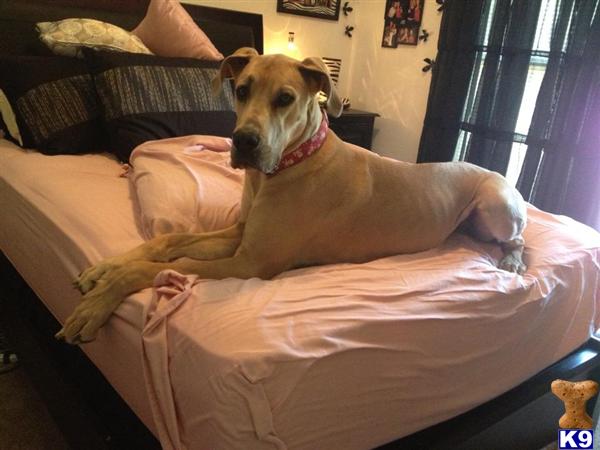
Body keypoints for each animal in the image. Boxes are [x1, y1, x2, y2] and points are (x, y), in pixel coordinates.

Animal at [55, 48, 524, 344]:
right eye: (241, 90)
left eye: (285, 99)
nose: (244, 142)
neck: (288, 165)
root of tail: (490, 171)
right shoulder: (240, 234)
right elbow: (167, 242)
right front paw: (105, 268)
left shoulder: (249, 262)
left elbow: (158, 268)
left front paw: (102, 298)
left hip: (497, 204)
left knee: (519, 236)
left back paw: (513, 261)